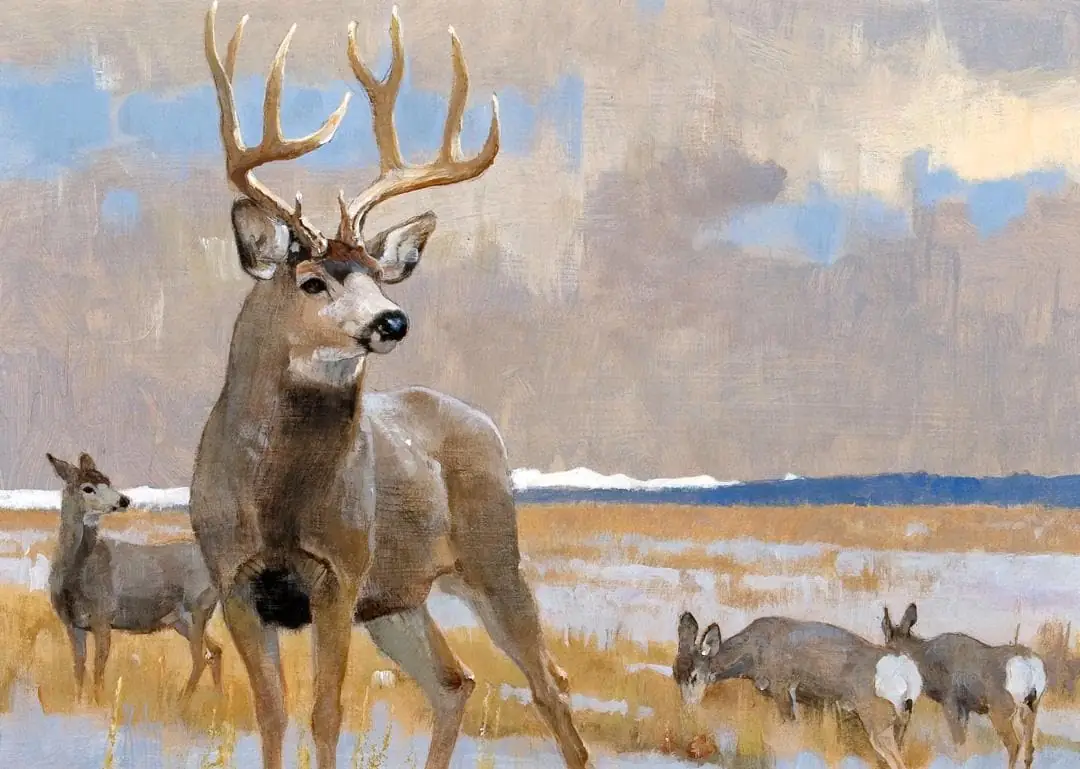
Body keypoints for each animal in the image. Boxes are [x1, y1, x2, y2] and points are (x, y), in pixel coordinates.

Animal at [45, 452, 223, 704]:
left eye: (107, 480)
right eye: (88, 488)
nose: (124, 500)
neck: (76, 575)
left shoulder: (103, 618)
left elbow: (98, 670)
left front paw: (99, 704)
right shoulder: (72, 624)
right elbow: (79, 669)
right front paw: (78, 703)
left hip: (197, 608)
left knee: (200, 658)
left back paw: (181, 703)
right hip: (181, 620)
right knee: (215, 651)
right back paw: (217, 700)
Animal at [189, 4, 588, 769]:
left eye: (378, 274)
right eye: (311, 280)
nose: (392, 319)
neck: (275, 502)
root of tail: (484, 424)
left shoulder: (340, 574)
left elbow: (325, 714)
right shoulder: (235, 579)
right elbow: (272, 713)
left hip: (493, 553)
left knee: (548, 680)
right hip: (400, 596)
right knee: (456, 681)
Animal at [674, 612, 922, 769]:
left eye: (695, 676)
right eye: (675, 674)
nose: (688, 708)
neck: (753, 653)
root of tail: (907, 673)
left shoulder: (783, 689)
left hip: (876, 719)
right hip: (901, 721)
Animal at [881, 603, 1046, 768]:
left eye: (889, 646)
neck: (928, 665)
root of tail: (1029, 665)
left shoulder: (950, 702)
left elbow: (958, 741)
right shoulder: (965, 708)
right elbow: (964, 740)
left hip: (1000, 709)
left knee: (1014, 745)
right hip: (1032, 706)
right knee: (1030, 749)